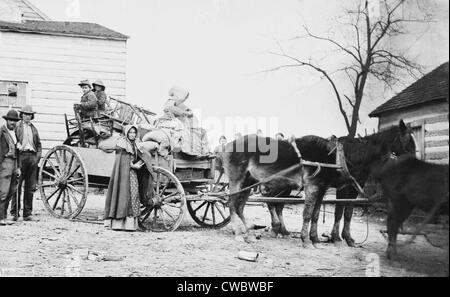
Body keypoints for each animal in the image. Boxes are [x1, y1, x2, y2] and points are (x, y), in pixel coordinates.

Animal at [221, 119, 414, 244]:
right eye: (408, 142)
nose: (414, 164)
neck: (339, 157)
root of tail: (228, 145)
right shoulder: (322, 187)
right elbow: (312, 213)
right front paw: (310, 239)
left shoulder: (324, 188)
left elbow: (321, 213)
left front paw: (317, 237)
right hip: (239, 180)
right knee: (234, 203)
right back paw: (241, 232)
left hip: (250, 182)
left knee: (242, 206)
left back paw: (252, 231)